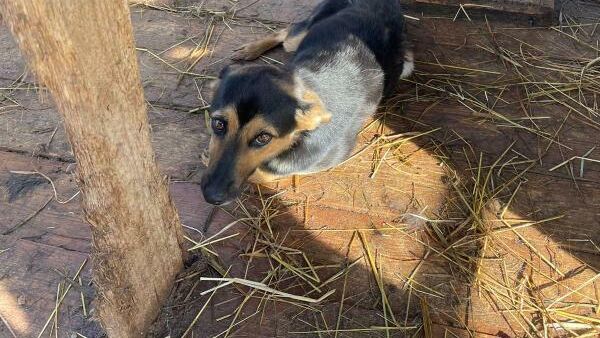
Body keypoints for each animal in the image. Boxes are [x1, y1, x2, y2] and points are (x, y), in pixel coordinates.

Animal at [200, 0, 412, 205]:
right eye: (218, 124)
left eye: (264, 138)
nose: (211, 196)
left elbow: (265, 173)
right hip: (298, 37)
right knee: (285, 32)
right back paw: (250, 50)